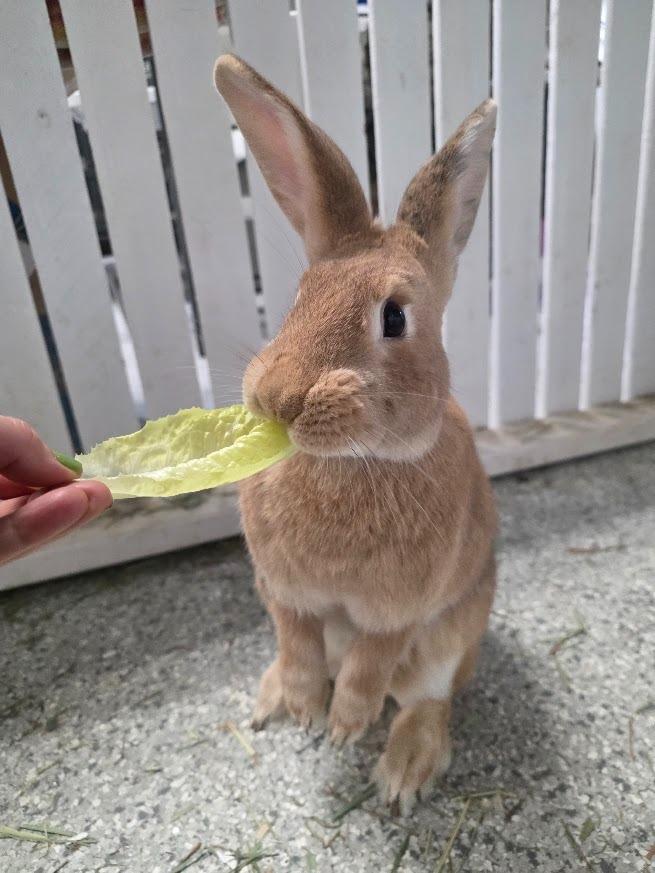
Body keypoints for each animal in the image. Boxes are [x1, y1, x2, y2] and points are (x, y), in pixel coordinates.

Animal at [213, 53, 498, 813]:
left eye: (394, 317)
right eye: (297, 299)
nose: (279, 398)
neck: (346, 460)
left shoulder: (395, 610)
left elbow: (373, 660)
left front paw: (343, 725)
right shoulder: (283, 591)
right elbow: (296, 643)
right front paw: (305, 707)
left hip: (453, 635)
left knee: (428, 699)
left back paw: (402, 773)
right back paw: (273, 701)